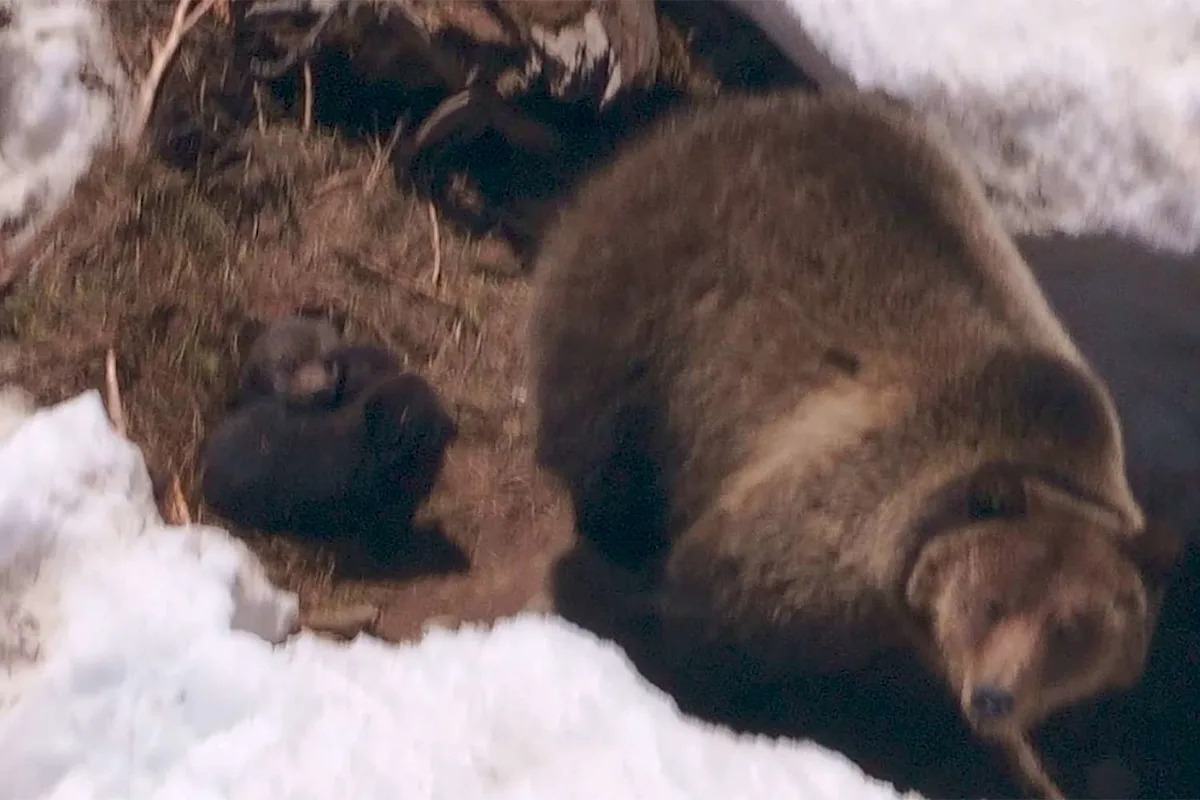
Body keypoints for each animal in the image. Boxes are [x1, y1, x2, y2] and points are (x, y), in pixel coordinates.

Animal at [528, 89, 1181, 799]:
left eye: (1072, 631)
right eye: (991, 602)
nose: (995, 696)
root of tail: (744, 107)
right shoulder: (828, 535)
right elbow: (712, 610)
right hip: (655, 297)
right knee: (597, 432)